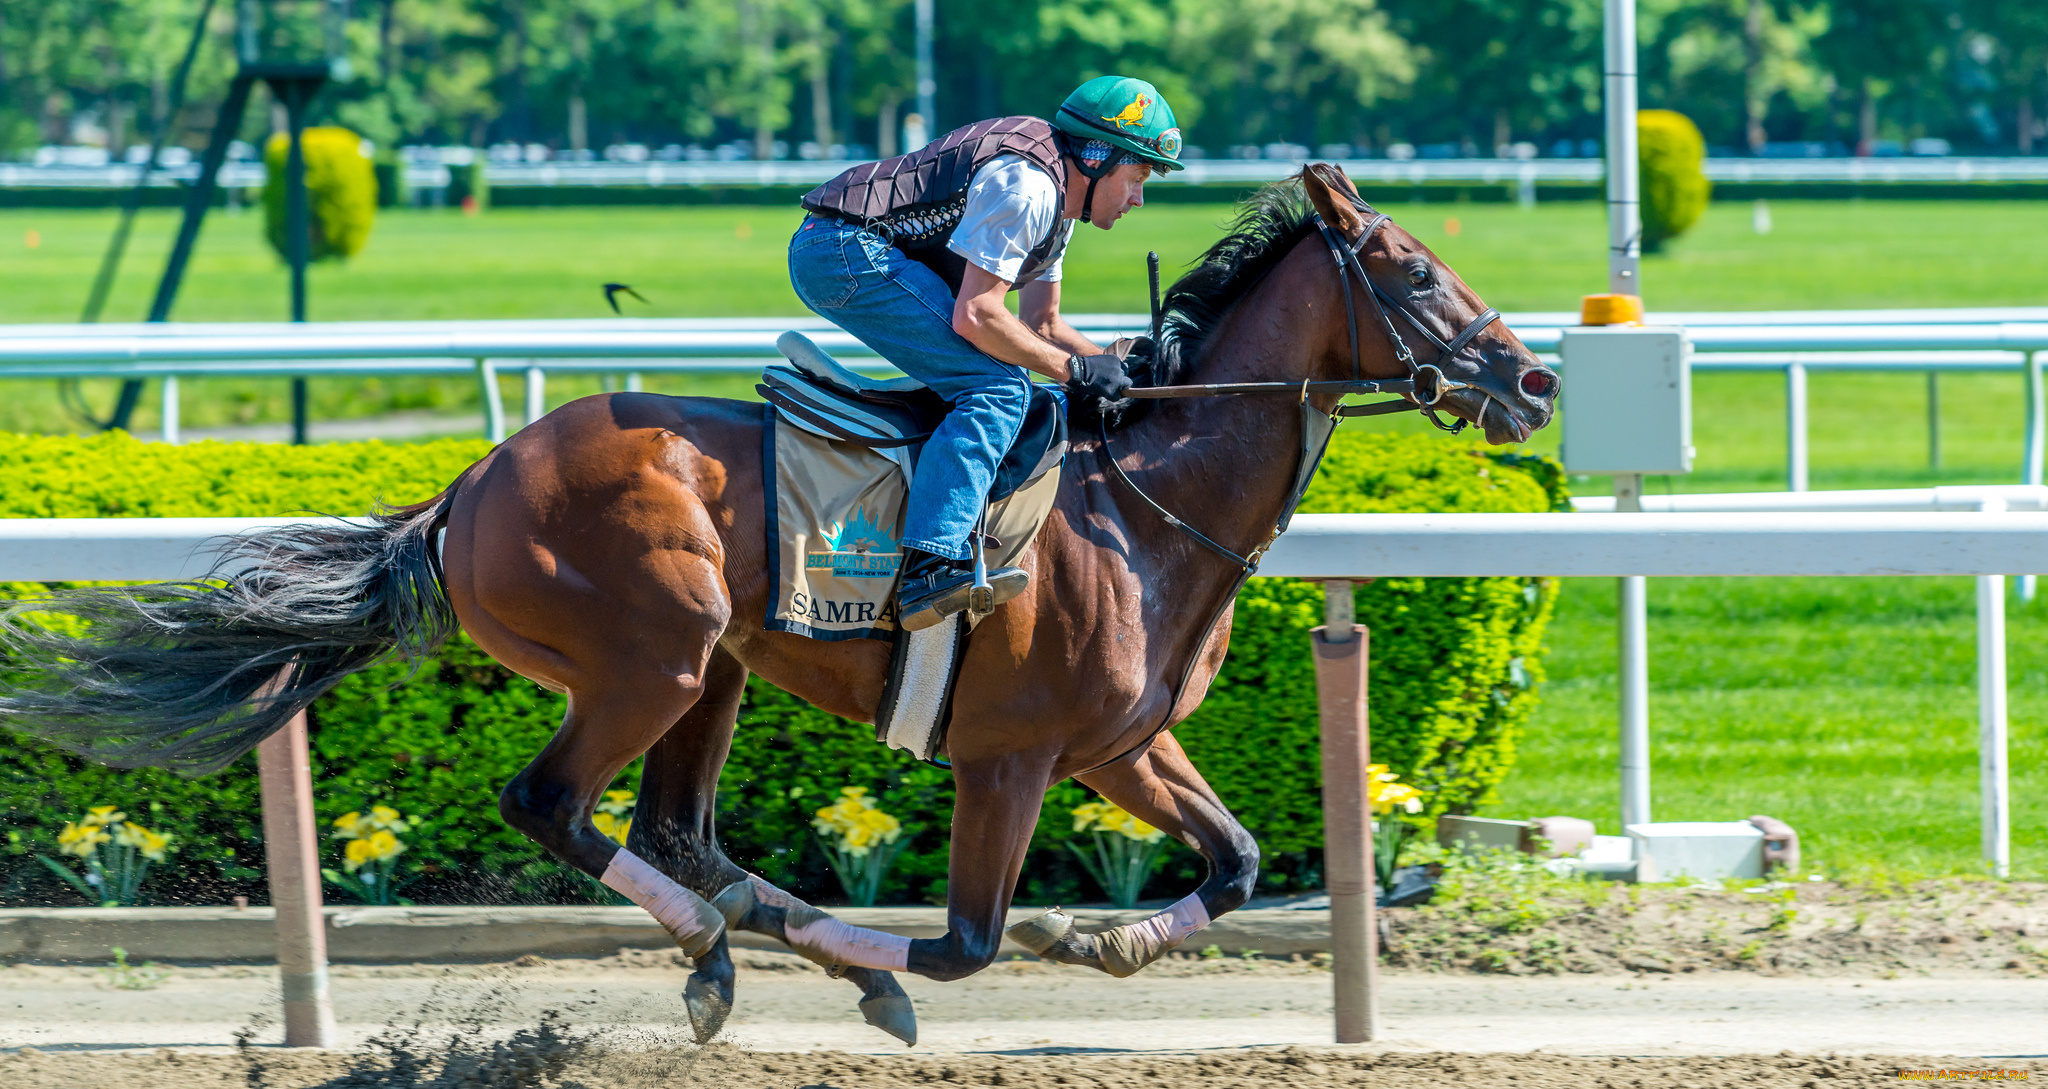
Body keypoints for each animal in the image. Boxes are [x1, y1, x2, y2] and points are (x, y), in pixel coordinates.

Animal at [0, 163, 1548, 1048]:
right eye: (1411, 269)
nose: (1530, 380)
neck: (1144, 496)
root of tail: (470, 484)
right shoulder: (1012, 755)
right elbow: (968, 942)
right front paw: (977, 953)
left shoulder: (1120, 742)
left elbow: (1230, 861)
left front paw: (1100, 936)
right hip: (654, 657)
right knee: (557, 806)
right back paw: (718, 953)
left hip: (721, 667)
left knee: (678, 830)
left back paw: (745, 937)